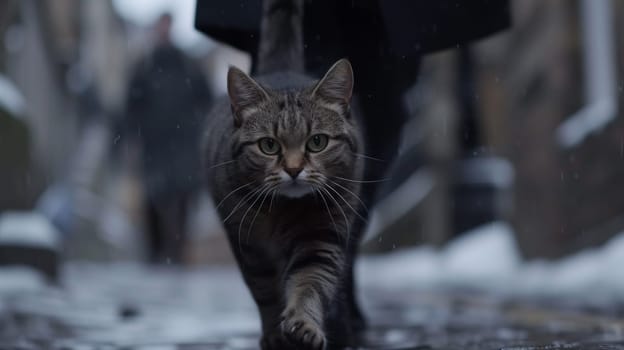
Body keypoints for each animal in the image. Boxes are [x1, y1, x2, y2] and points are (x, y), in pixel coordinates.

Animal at [200, 0, 366, 348]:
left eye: (317, 142)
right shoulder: (248, 245)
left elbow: (309, 282)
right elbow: (265, 292)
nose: (293, 169)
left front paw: (304, 326)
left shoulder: (322, 236)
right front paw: (276, 334)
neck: (283, 212)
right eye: (268, 145)